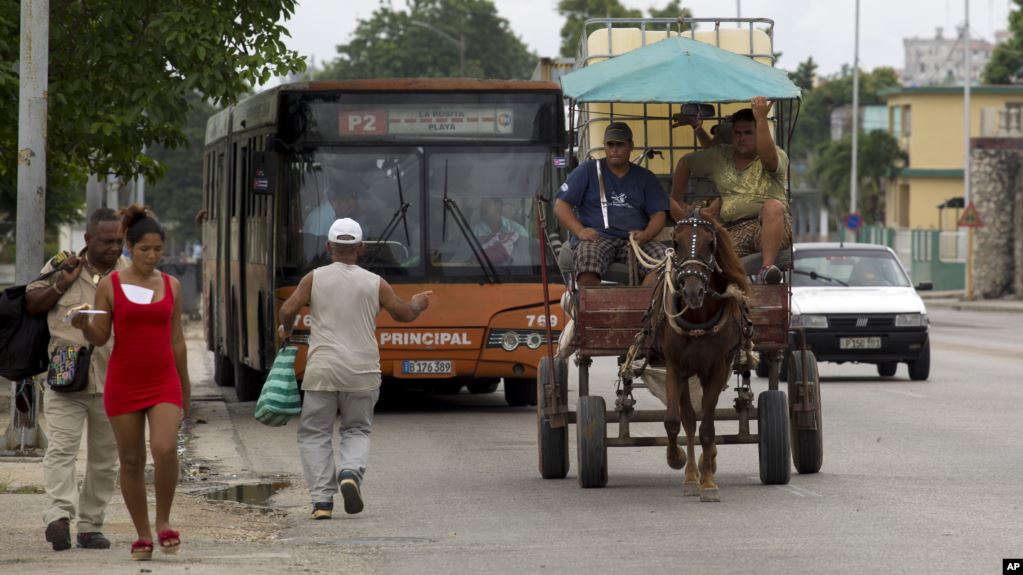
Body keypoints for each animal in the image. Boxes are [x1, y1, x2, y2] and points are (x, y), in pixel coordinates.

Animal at [658, 199, 748, 499]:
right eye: (675, 242)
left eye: (711, 244)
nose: (692, 292)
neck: (697, 317)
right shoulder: (675, 367)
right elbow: (674, 420)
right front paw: (676, 459)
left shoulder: (718, 368)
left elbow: (708, 427)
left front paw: (708, 482)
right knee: (688, 419)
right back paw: (689, 475)